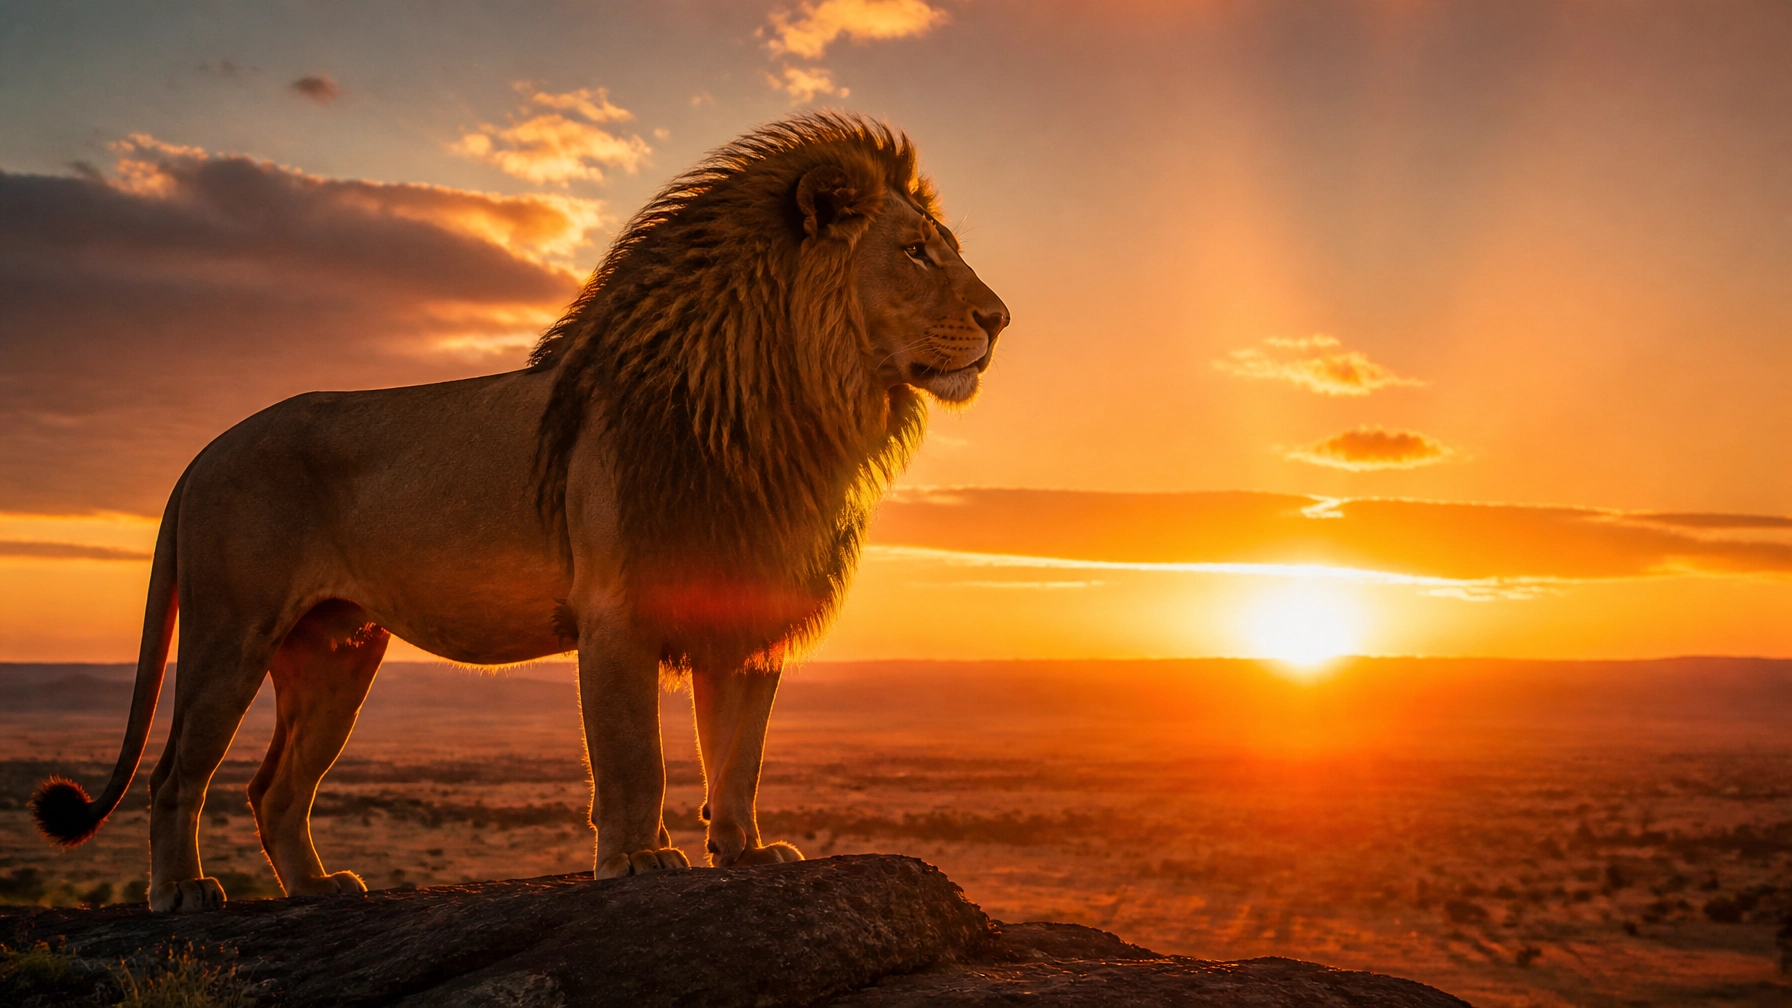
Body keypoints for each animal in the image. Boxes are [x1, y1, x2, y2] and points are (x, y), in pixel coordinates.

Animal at [29, 113, 1009, 912]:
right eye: (916, 252)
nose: (1000, 319)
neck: (786, 411)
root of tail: (204, 452)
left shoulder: (745, 610)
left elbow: (739, 755)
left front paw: (747, 854)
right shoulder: (618, 612)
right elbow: (634, 757)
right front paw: (640, 862)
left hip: (337, 652)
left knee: (274, 788)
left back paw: (318, 887)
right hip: (231, 631)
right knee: (174, 774)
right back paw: (182, 893)